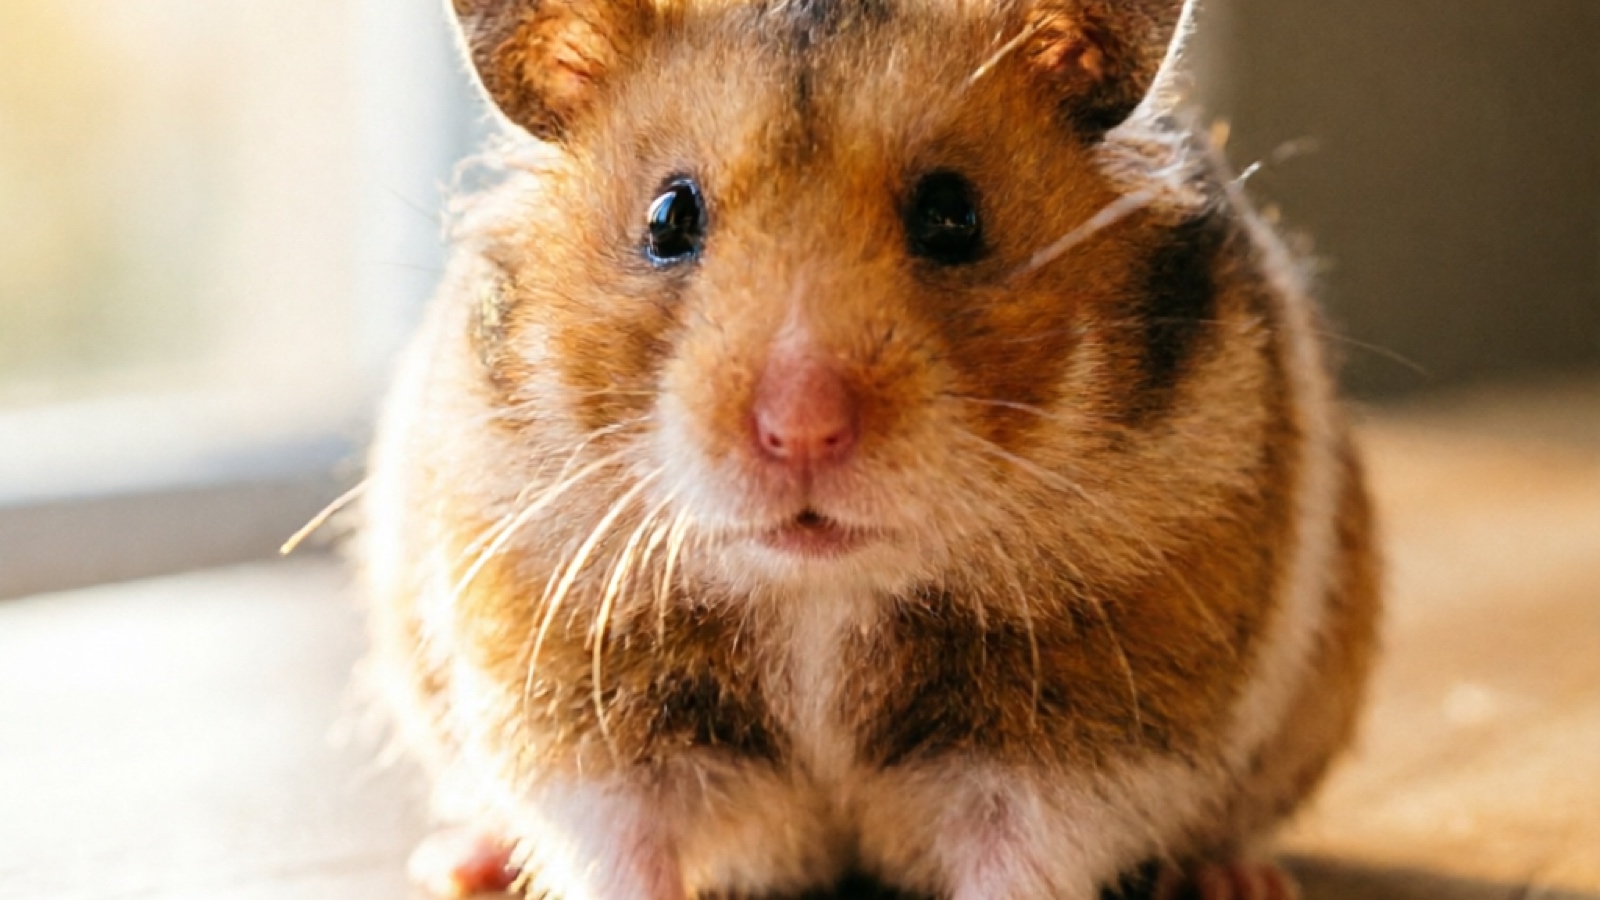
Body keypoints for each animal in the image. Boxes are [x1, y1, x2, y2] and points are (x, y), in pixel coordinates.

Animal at [358, 0, 1381, 897]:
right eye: (668, 218)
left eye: (953, 216)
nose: (801, 428)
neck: (821, 593)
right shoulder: (580, 707)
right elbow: (620, 851)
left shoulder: (1086, 730)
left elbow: (1025, 858)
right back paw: (459, 862)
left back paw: (1240, 880)